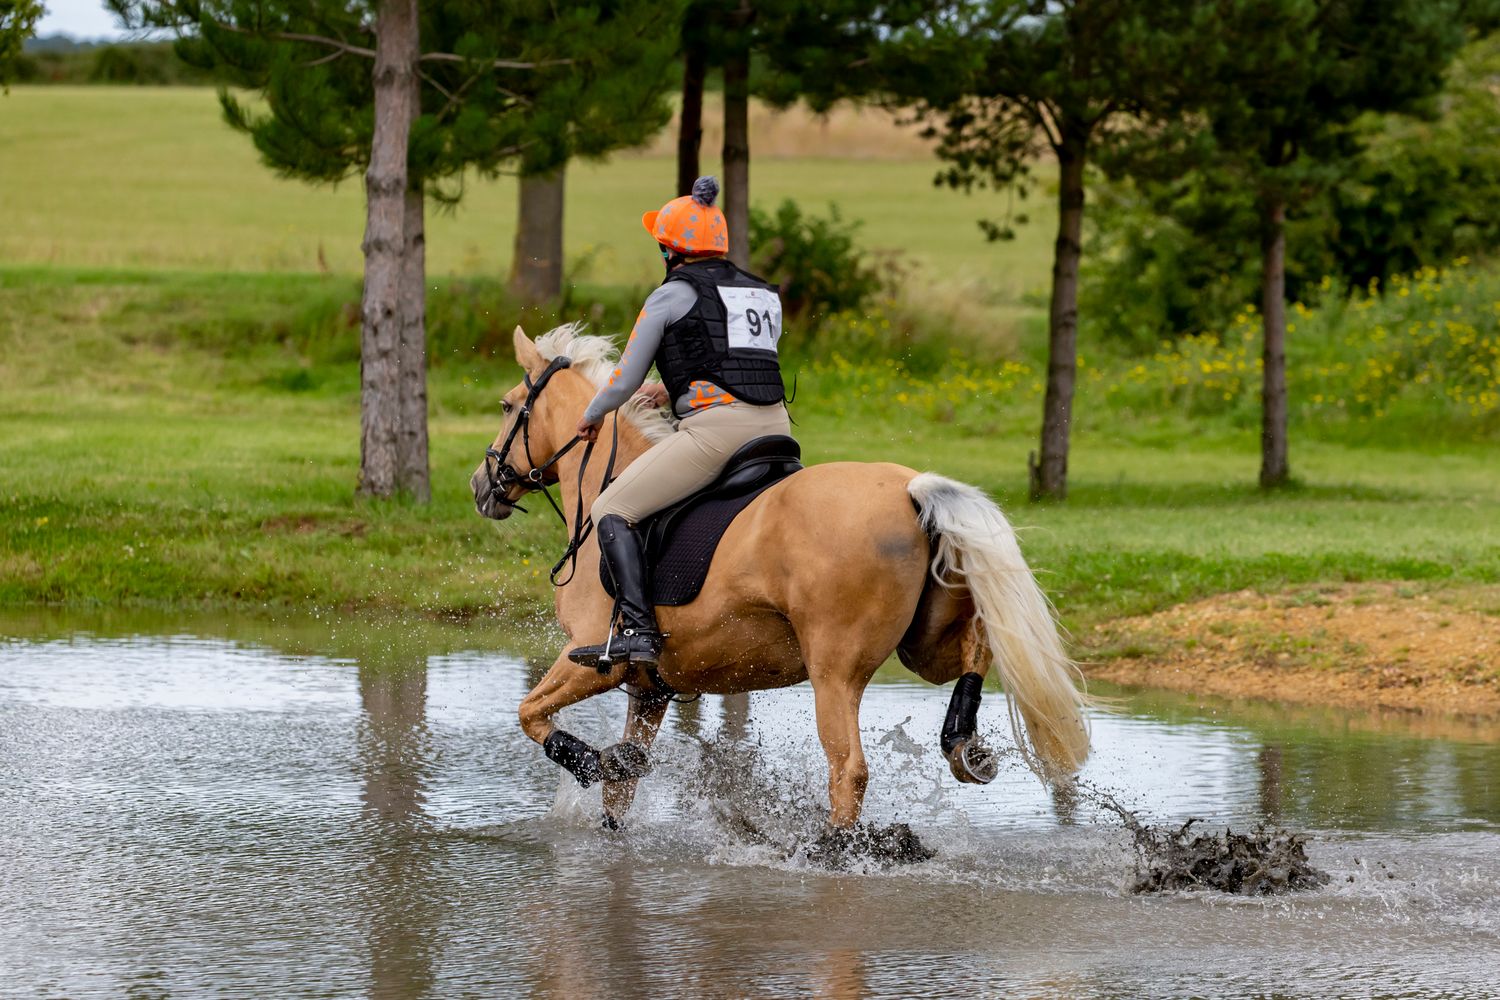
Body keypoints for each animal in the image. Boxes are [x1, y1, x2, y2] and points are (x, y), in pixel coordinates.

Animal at [471, 324, 1090, 831]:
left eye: (507, 406)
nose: (482, 485)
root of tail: (911, 490)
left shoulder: (591, 659)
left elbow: (530, 714)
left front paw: (592, 760)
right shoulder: (651, 690)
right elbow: (619, 792)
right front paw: (616, 775)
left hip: (834, 670)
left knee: (848, 769)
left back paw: (837, 852)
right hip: (923, 645)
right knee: (976, 650)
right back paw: (962, 742)